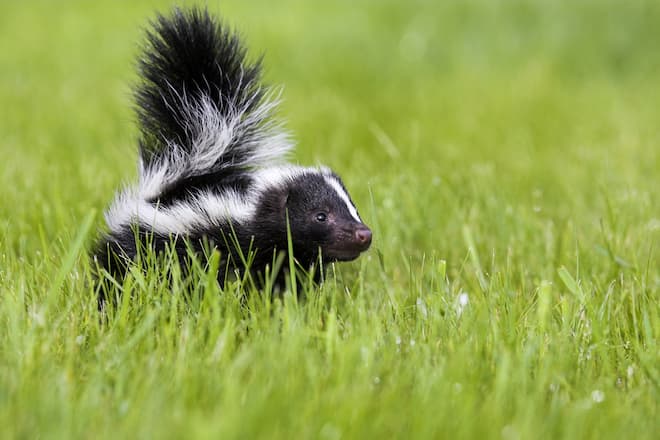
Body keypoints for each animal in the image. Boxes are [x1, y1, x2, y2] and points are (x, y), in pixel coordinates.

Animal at [92, 6, 372, 300]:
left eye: (353, 208)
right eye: (320, 216)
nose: (364, 234)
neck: (251, 212)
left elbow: (288, 280)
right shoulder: (220, 241)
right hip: (138, 241)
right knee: (118, 268)